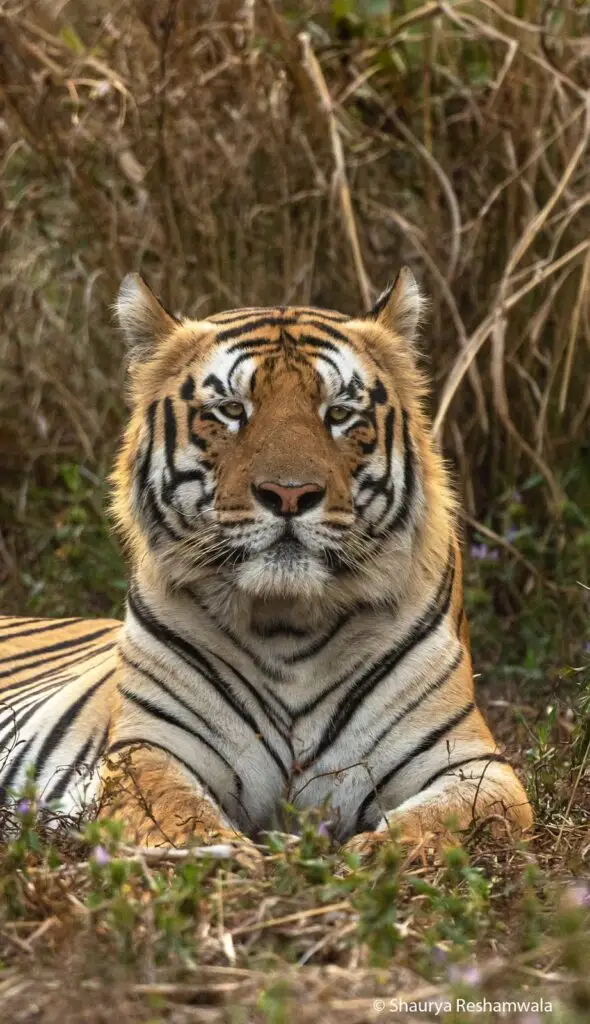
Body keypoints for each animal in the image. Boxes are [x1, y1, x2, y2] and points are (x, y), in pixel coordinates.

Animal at [0, 268, 532, 855]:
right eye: (232, 411)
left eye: (339, 414)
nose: (290, 493)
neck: (288, 625)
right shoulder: (153, 747)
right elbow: (177, 815)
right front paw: (230, 857)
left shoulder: (473, 763)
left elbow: (443, 822)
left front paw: (367, 856)